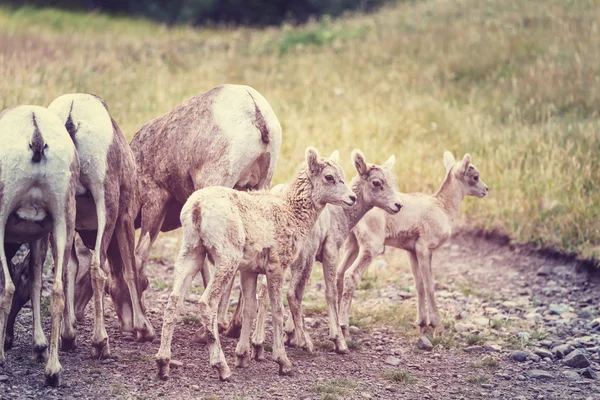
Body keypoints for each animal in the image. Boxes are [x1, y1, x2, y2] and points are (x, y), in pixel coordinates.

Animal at [0, 105, 79, 384]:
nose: (9, 340)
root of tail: (36, 135)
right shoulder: (38, 237)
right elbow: (34, 279)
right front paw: (39, 346)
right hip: (63, 217)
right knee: (57, 290)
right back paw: (53, 371)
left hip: (1, 212)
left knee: (8, 287)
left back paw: (1, 359)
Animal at [155, 148, 358, 382]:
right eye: (329, 177)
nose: (352, 198)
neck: (291, 213)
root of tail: (197, 208)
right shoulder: (276, 266)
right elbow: (277, 310)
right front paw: (283, 362)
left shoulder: (249, 271)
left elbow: (249, 309)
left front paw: (243, 356)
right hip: (226, 259)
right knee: (207, 303)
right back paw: (221, 368)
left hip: (191, 252)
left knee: (174, 301)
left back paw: (163, 364)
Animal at [338, 152, 488, 336]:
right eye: (475, 176)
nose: (486, 189)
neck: (443, 208)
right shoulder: (424, 249)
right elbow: (429, 284)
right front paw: (436, 324)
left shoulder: (412, 252)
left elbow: (419, 284)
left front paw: (421, 322)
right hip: (370, 248)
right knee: (351, 276)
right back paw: (344, 326)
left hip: (353, 245)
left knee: (339, 273)